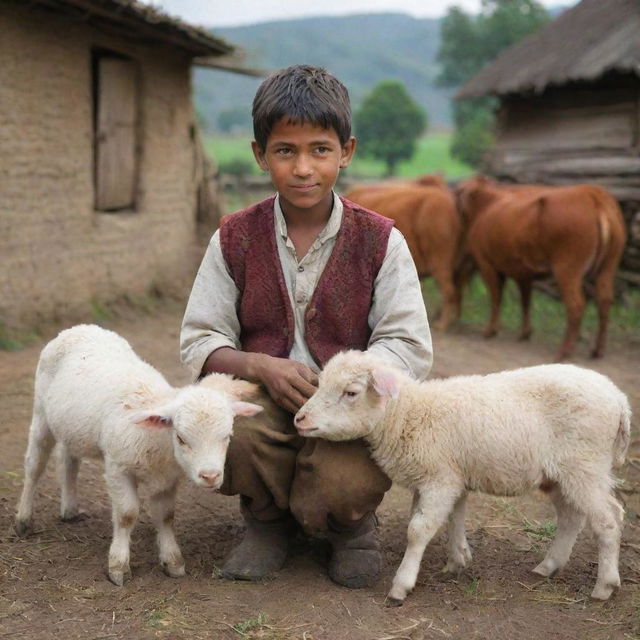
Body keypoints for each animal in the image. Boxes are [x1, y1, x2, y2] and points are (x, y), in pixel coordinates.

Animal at [15, 324, 262, 584]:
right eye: (181, 438)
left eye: (227, 436)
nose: (210, 476)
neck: (157, 442)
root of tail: (80, 328)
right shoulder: (117, 468)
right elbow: (127, 514)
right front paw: (118, 566)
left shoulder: (168, 479)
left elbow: (166, 516)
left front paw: (172, 561)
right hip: (41, 413)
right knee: (34, 465)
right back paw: (23, 520)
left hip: (72, 427)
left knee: (68, 460)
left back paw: (70, 509)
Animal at [294, 350, 632, 604]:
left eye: (351, 393)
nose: (300, 419)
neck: (407, 415)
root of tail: (619, 399)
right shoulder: (450, 477)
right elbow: (454, 517)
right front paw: (457, 559)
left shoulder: (440, 479)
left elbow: (418, 530)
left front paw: (402, 585)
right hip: (560, 474)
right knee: (571, 517)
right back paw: (548, 566)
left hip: (585, 465)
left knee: (609, 518)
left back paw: (604, 586)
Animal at [456, 175, 624, 360]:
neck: (486, 206)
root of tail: (592, 194)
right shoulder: (523, 273)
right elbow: (525, 300)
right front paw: (525, 333)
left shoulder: (486, 263)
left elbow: (496, 297)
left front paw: (490, 331)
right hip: (607, 267)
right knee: (604, 301)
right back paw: (597, 350)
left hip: (567, 269)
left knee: (576, 305)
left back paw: (564, 351)